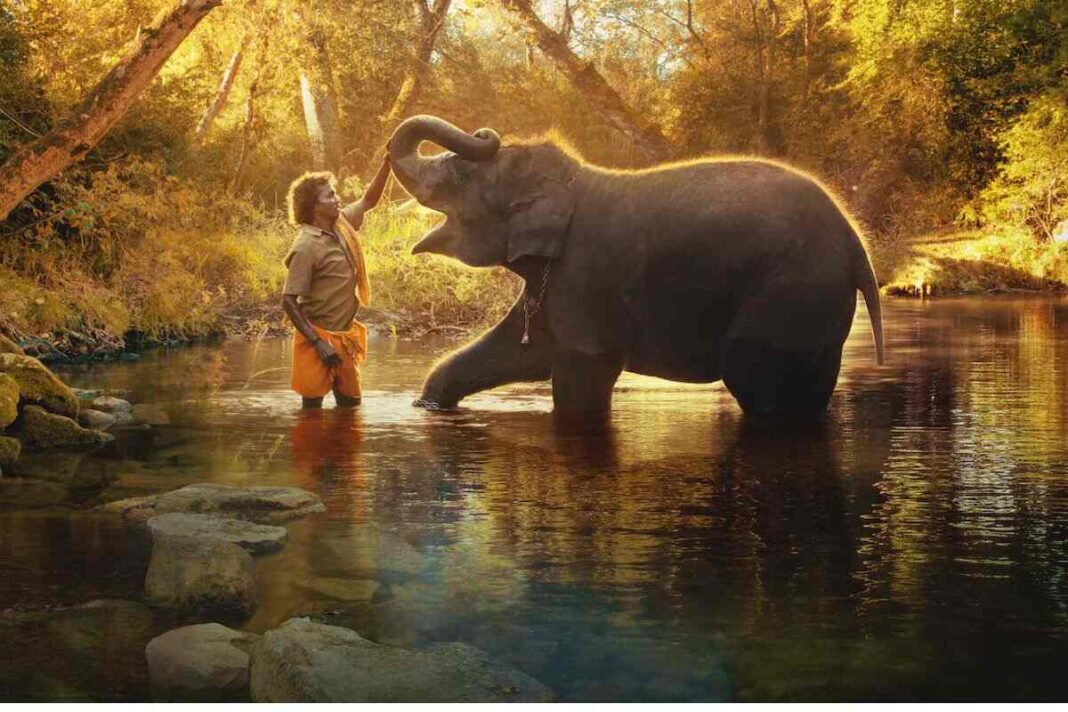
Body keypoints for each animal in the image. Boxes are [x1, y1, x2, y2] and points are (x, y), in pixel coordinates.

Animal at [388, 115, 885, 415]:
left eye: (459, 176)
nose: (485, 132)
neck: (572, 181)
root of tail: (858, 246)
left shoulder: (586, 274)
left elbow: (582, 373)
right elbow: (521, 350)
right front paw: (429, 406)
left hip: (790, 292)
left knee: (756, 380)